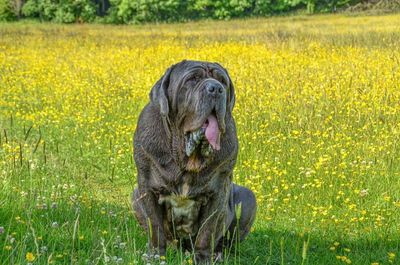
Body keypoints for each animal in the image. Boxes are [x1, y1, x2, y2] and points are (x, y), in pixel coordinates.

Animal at [132, 60, 256, 264]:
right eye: (192, 79)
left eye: (223, 81)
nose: (216, 89)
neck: (186, 157)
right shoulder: (146, 186)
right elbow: (155, 226)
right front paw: (156, 255)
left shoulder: (218, 191)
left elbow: (207, 231)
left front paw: (203, 258)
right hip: (134, 196)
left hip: (248, 198)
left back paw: (218, 254)